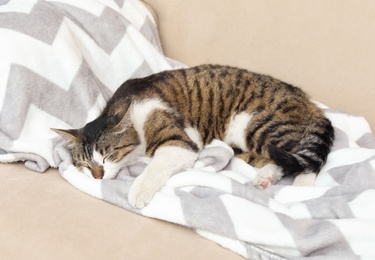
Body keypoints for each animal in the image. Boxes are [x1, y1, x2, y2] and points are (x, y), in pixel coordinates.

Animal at [52, 64, 334, 209]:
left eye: (108, 155)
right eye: (84, 163)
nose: (98, 175)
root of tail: (307, 100)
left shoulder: (177, 144)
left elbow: (153, 169)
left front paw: (138, 191)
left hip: (255, 125)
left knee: (301, 159)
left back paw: (299, 190)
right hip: (245, 145)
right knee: (278, 160)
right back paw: (265, 178)